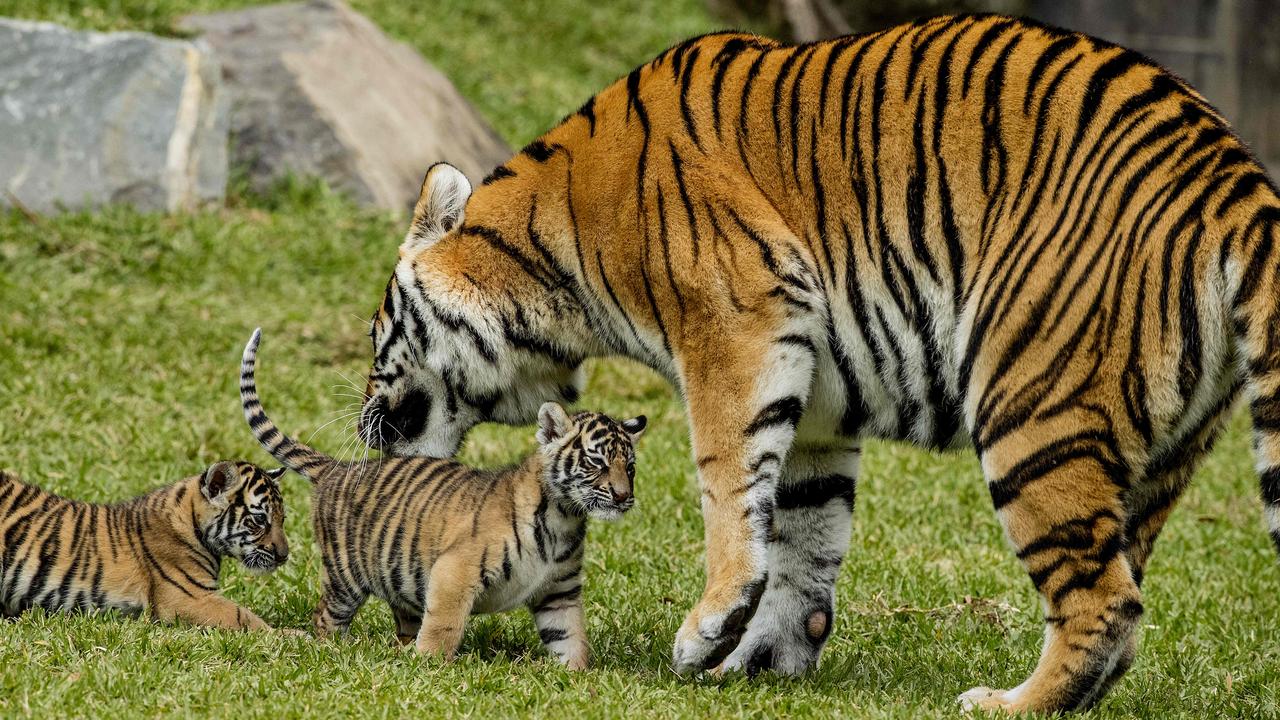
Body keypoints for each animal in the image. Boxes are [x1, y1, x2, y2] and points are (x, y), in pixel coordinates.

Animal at [358, 14, 1280, 707]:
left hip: (1031, 402)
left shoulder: (738, 328)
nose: (363, 429)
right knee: (1123, 593)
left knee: (1105, 603)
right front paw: (757, 659)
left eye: (377, 336)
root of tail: (1234, 173)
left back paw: (1007, 704)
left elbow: (725, 480)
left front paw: (707, 629)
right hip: (1159, 453)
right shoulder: (820, 396)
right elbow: (802, 532)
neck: (555, 256)